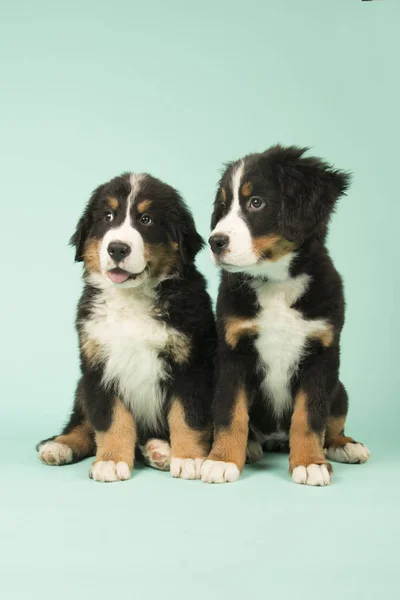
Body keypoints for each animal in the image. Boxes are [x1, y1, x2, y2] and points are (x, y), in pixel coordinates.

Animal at [36, 172, 216, 482]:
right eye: (108, 217)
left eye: (146, 220)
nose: (117, 248)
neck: (131, 299)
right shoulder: (98, 366)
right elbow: (110, 420)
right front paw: (110, 460)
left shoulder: (192, 364)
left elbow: (187, 416)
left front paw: (189, 458)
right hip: (82, 387)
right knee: (81, 423)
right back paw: (60, 446)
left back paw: (160, 450)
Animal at [202, 146, 370, 488]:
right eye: (223, 206)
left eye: (256, 202)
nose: (215, 242)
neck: (277, 283)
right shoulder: (233, 352)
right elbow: (230, 411)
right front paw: (222, 460)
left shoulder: (321, 353)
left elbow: (310, 416)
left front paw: (309, 463)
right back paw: (250, 447)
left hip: (340, 389)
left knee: (333, 422)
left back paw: (345, 446)